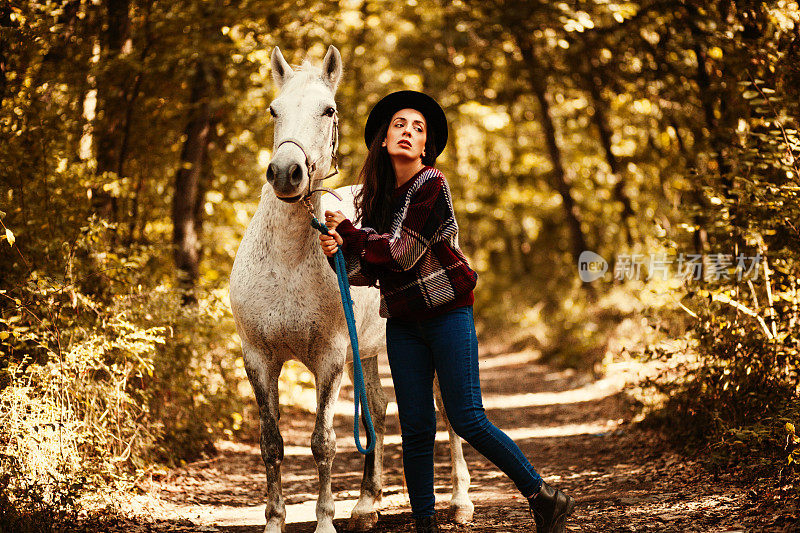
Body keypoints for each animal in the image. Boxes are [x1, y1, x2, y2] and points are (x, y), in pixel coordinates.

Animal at [228, 45, 472, 532]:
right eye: (273, 110)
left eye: (328, 110)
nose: (286, 173)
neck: (286, 261)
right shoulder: (258, 358)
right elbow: (271, 442)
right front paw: (274, 521)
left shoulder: (330, 357)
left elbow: (323, 442)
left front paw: (324, 521)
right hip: (372, 351)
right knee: (377, 411)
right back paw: (366, 504)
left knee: (448, 413)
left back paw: (459, 501)